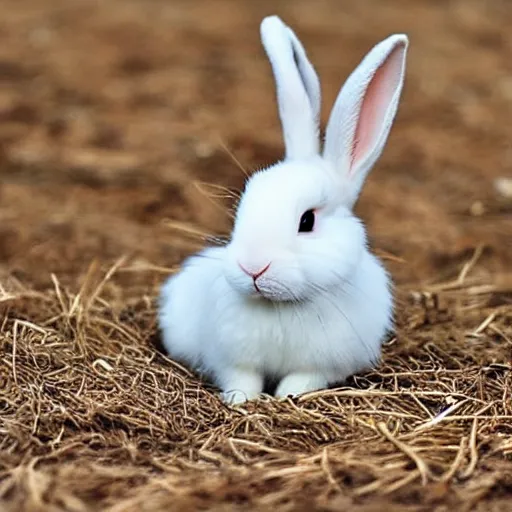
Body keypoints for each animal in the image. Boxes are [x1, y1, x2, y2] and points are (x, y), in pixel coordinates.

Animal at [158, 16, 410, 404]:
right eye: (243, 207)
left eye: (307, 221)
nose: (253, 268)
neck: (281, 305)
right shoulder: (233, 360)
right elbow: (241, 379)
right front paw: (241, 401)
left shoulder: (321, 366)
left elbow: (301, 381)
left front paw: (286, 397)